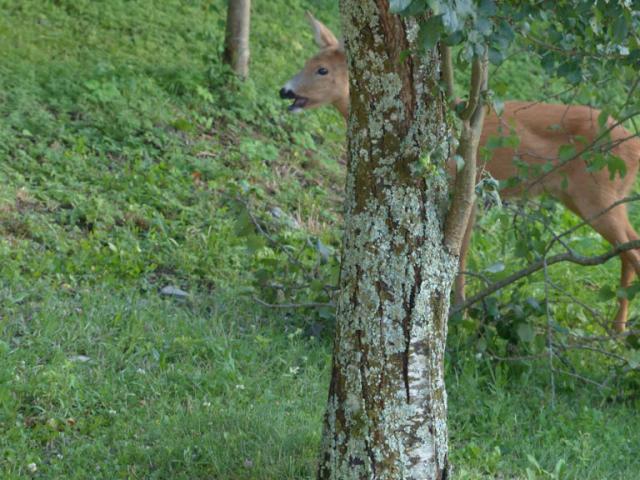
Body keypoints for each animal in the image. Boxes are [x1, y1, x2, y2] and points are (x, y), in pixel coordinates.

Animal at [282, 12, 640, 334]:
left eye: (322, 70)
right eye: (307, 62)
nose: (285, 91)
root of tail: (633, 145)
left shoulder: (461, 185)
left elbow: (459, 253)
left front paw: (459, 314)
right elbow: (460, 253)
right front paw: (459, 310)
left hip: (598, 194)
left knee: (631, 249)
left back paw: (619, 333)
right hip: (583, 196)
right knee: (627, 250)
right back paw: (616, 328)